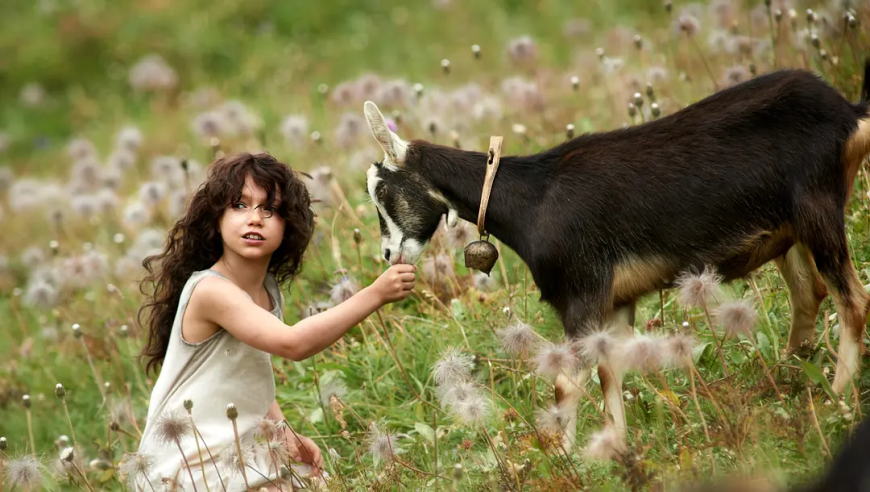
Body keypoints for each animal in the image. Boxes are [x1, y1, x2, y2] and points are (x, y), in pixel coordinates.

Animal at [362, 64, 870, 446]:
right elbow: (610, 375)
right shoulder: (616, 301)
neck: (533, 200)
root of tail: (847, 113)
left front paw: (566, 460)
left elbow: (566, 382)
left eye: (382, 189)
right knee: (810, 296)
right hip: (790, 233)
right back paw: (789, 385)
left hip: (818, 213)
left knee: (853, 301)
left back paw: (836, 402)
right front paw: (615, 451)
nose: (388, 255)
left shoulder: (581, 294)